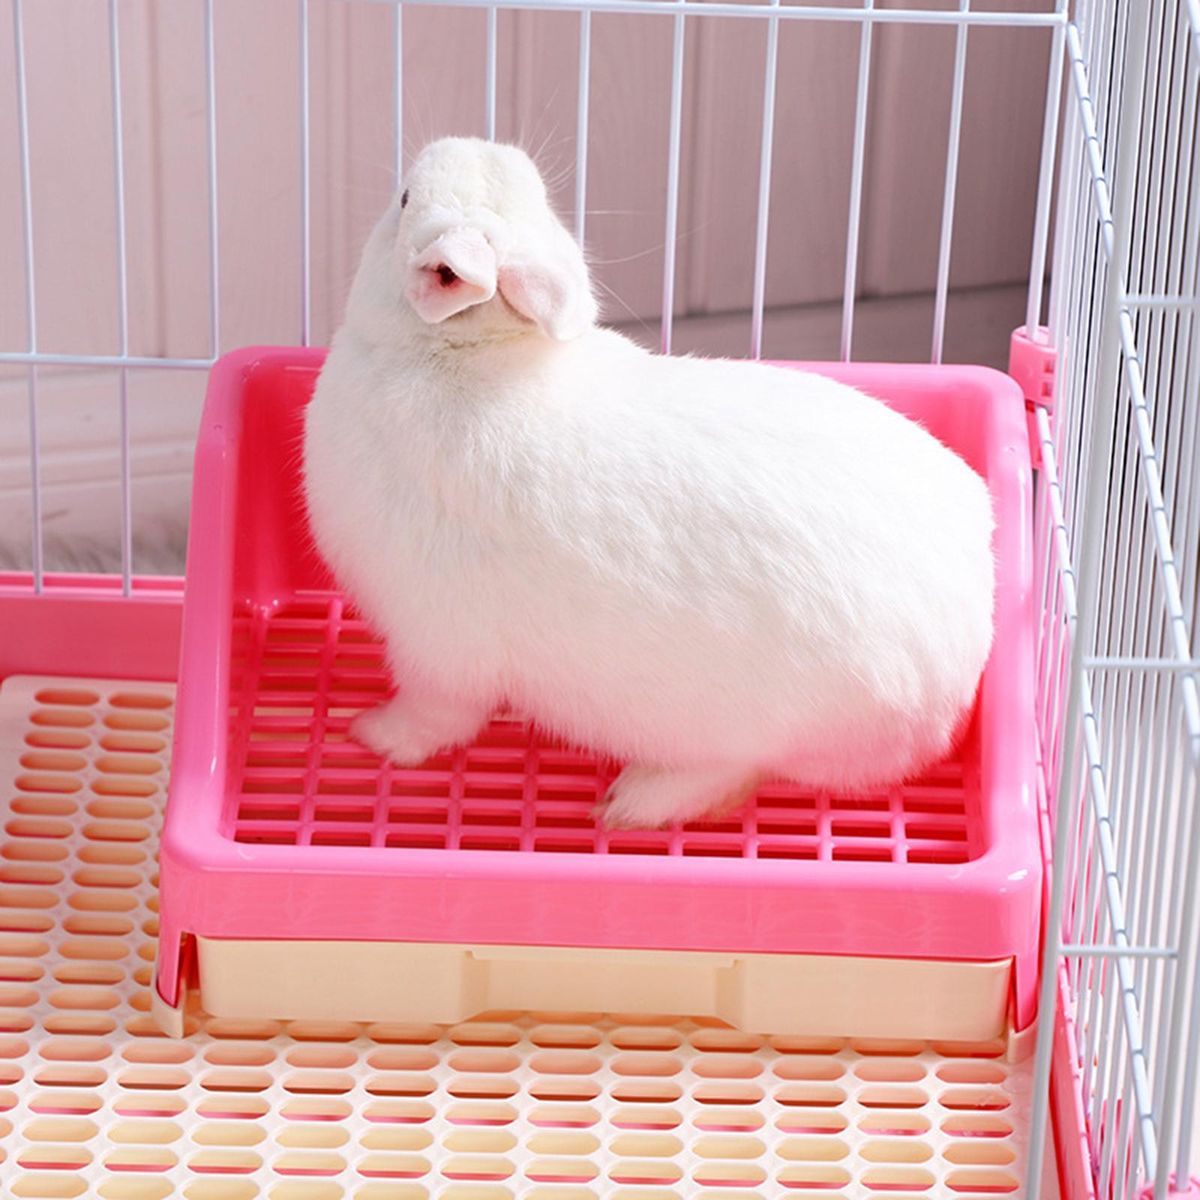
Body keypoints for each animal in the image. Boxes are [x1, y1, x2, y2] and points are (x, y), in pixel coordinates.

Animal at [303, 136, 996, 830]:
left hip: (755, 730)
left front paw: (373, 734)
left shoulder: (434, 648)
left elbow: (434, 716)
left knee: (732, 769)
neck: (465, 352)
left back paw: (631, 804)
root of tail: (964, 668)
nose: (471, 141)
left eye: (403, 200)